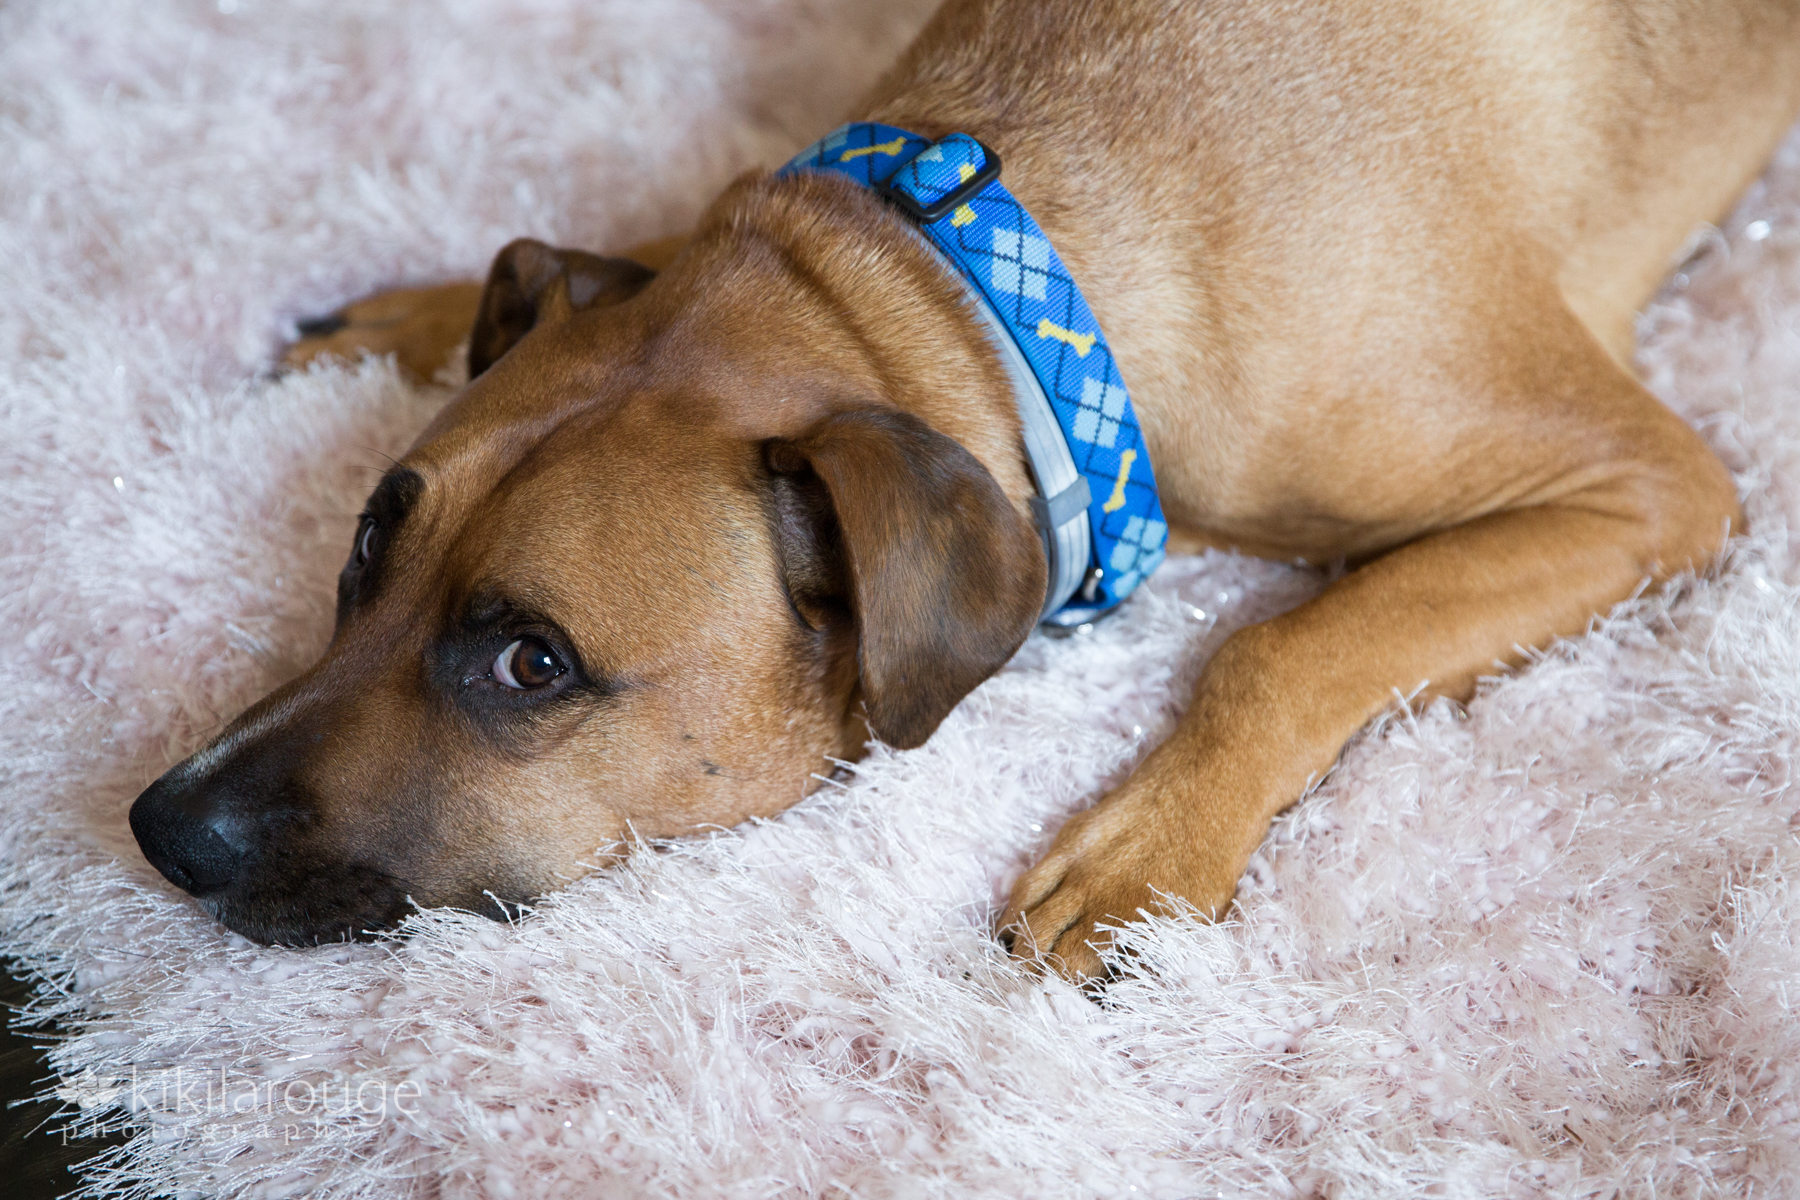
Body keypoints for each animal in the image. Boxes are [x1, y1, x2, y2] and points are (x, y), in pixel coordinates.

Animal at [136, 0, 1800, 985]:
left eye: (532, 661)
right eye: (366, 542)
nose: (163, 830)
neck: (977, 285)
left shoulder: (1646, 486)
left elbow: (1285, 646)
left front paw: (1145, 843)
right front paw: (424, 312)